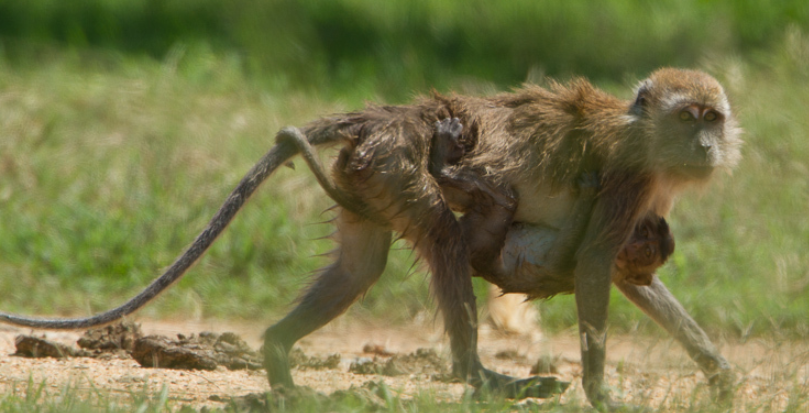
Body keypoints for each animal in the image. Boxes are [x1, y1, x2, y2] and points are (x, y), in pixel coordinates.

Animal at [0, 68, 740, 408]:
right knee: (443, 239)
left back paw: (278, 361)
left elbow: (620, 273)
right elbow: (592, 266)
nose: (707, 145)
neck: (642, 134)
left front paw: (716, 371)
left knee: (360, 266)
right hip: (395, 160)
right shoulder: (629, 180)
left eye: (713, 118)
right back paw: (477, 376)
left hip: (367, 174)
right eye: (690, 118)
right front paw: (599, 390)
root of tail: (389, 117)